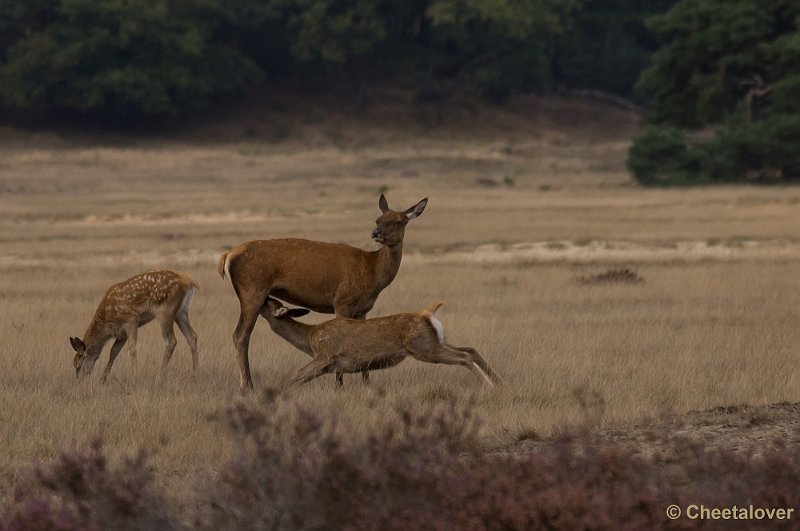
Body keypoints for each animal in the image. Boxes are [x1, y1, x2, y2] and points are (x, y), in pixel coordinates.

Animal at [69, 270, 200, 382]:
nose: (80, 381)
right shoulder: (121, 333)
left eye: (78, 366)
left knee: (171, 341)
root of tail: (188, 282)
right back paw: (195, 374)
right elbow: (113, 352)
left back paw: (159, 376)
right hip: (181, 312)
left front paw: (134, 376)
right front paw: (103, 379)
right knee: (192, 336)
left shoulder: (131, 319)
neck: (106, 321)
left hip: (164, 311)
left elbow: (132, 348)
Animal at [219, 194, 428, 390]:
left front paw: (367, 384)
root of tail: (227, 257)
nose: (376, 233)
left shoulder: (363, 309)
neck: (374, 274)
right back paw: (247, 386)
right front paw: (339, 385)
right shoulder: (343, 301)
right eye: (378, 219)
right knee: (240, 335)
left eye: (398, 221)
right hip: (252, 291)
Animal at [262, 300, 496, 386]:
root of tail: (427, 313)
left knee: (464, 356)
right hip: (436, 342)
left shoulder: (325, 356)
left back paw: (490, 385)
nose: (262, 298)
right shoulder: (331, 367)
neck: (309, 338)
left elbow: (294, 376)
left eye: (268, 301)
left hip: (425, 348)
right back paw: (499, 381)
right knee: (470, 349)